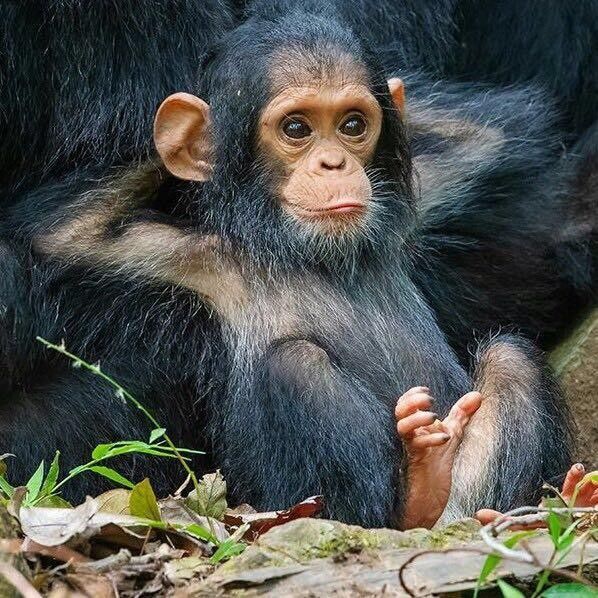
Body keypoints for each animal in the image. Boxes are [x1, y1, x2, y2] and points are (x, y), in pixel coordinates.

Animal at [1, 12, 580, 528]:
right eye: (296, 128)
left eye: (352, 125)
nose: (334, 164)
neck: (310, 251)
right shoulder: (180, 258)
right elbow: (62, 235)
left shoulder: (421, 197)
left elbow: (482, 137)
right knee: (295, 364)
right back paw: (419, 488)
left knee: (510, 358)